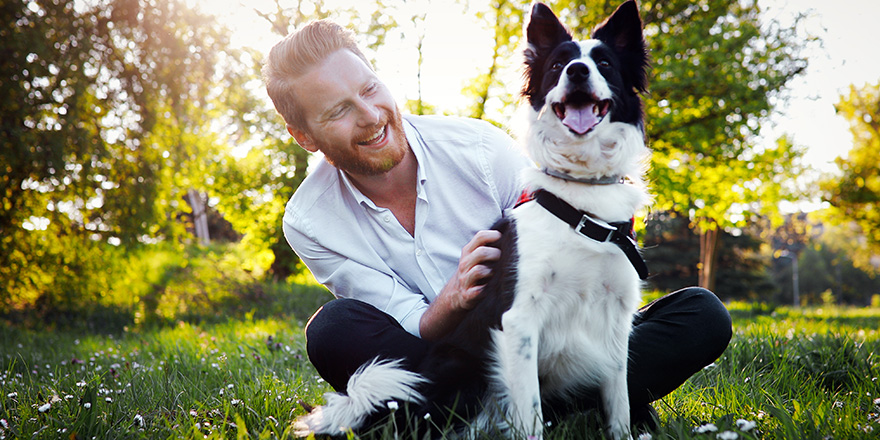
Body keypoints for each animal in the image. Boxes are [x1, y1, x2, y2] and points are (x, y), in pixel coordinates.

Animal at [294, 1, 648, 438]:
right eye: (558, 65)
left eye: (604, 63)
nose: (578, 71)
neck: (581, 201)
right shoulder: (519, 320)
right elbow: (531, 412)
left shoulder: (616, 319)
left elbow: (619, 404)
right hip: (460, 369)